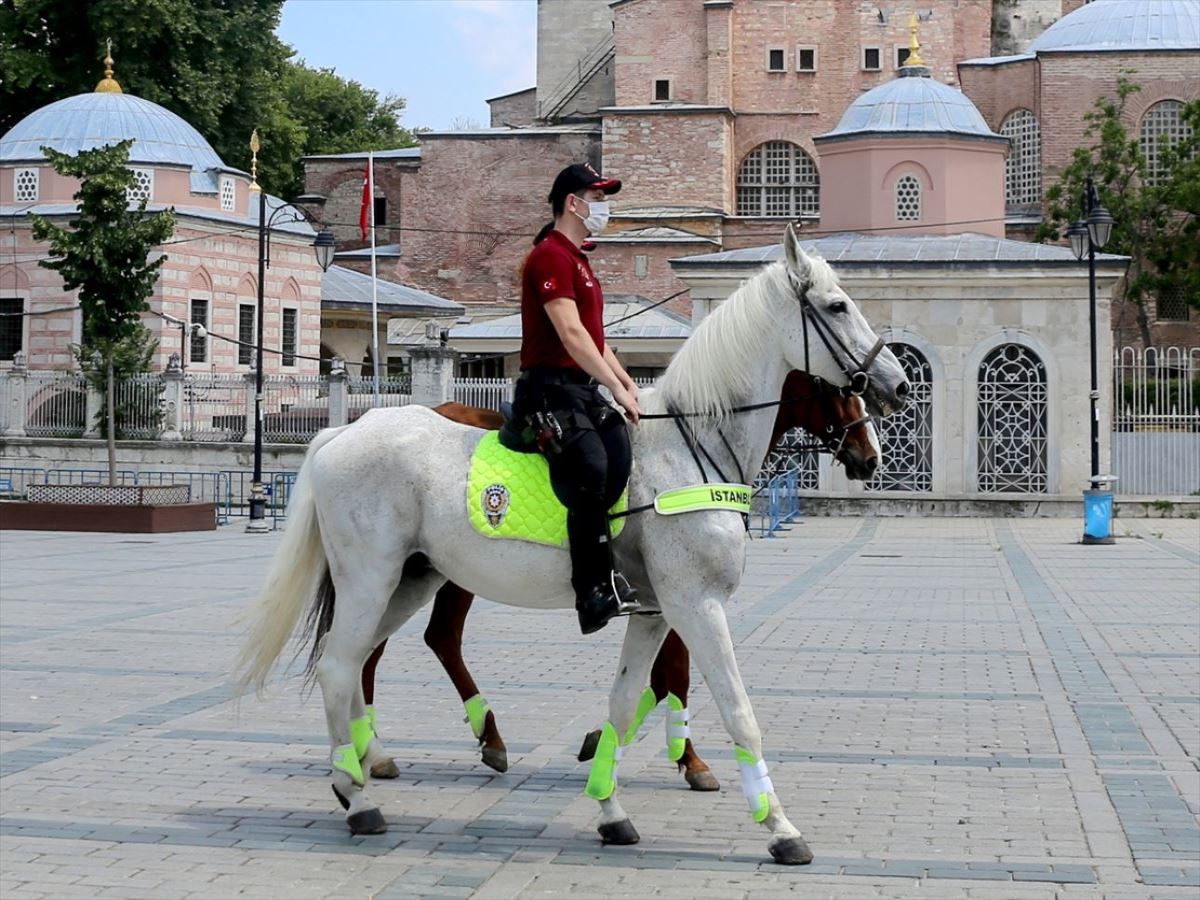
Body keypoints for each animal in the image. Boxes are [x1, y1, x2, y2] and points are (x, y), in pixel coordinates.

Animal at [360, 372, 878, 787]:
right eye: (837, 389)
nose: (870, 457)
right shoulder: (679, 594)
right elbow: (674, 674)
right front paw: (687, 759)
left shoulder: (663, 600)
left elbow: (661, 678)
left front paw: (606, 739)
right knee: (422, 638)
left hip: (427, 572)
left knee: (398, 641)